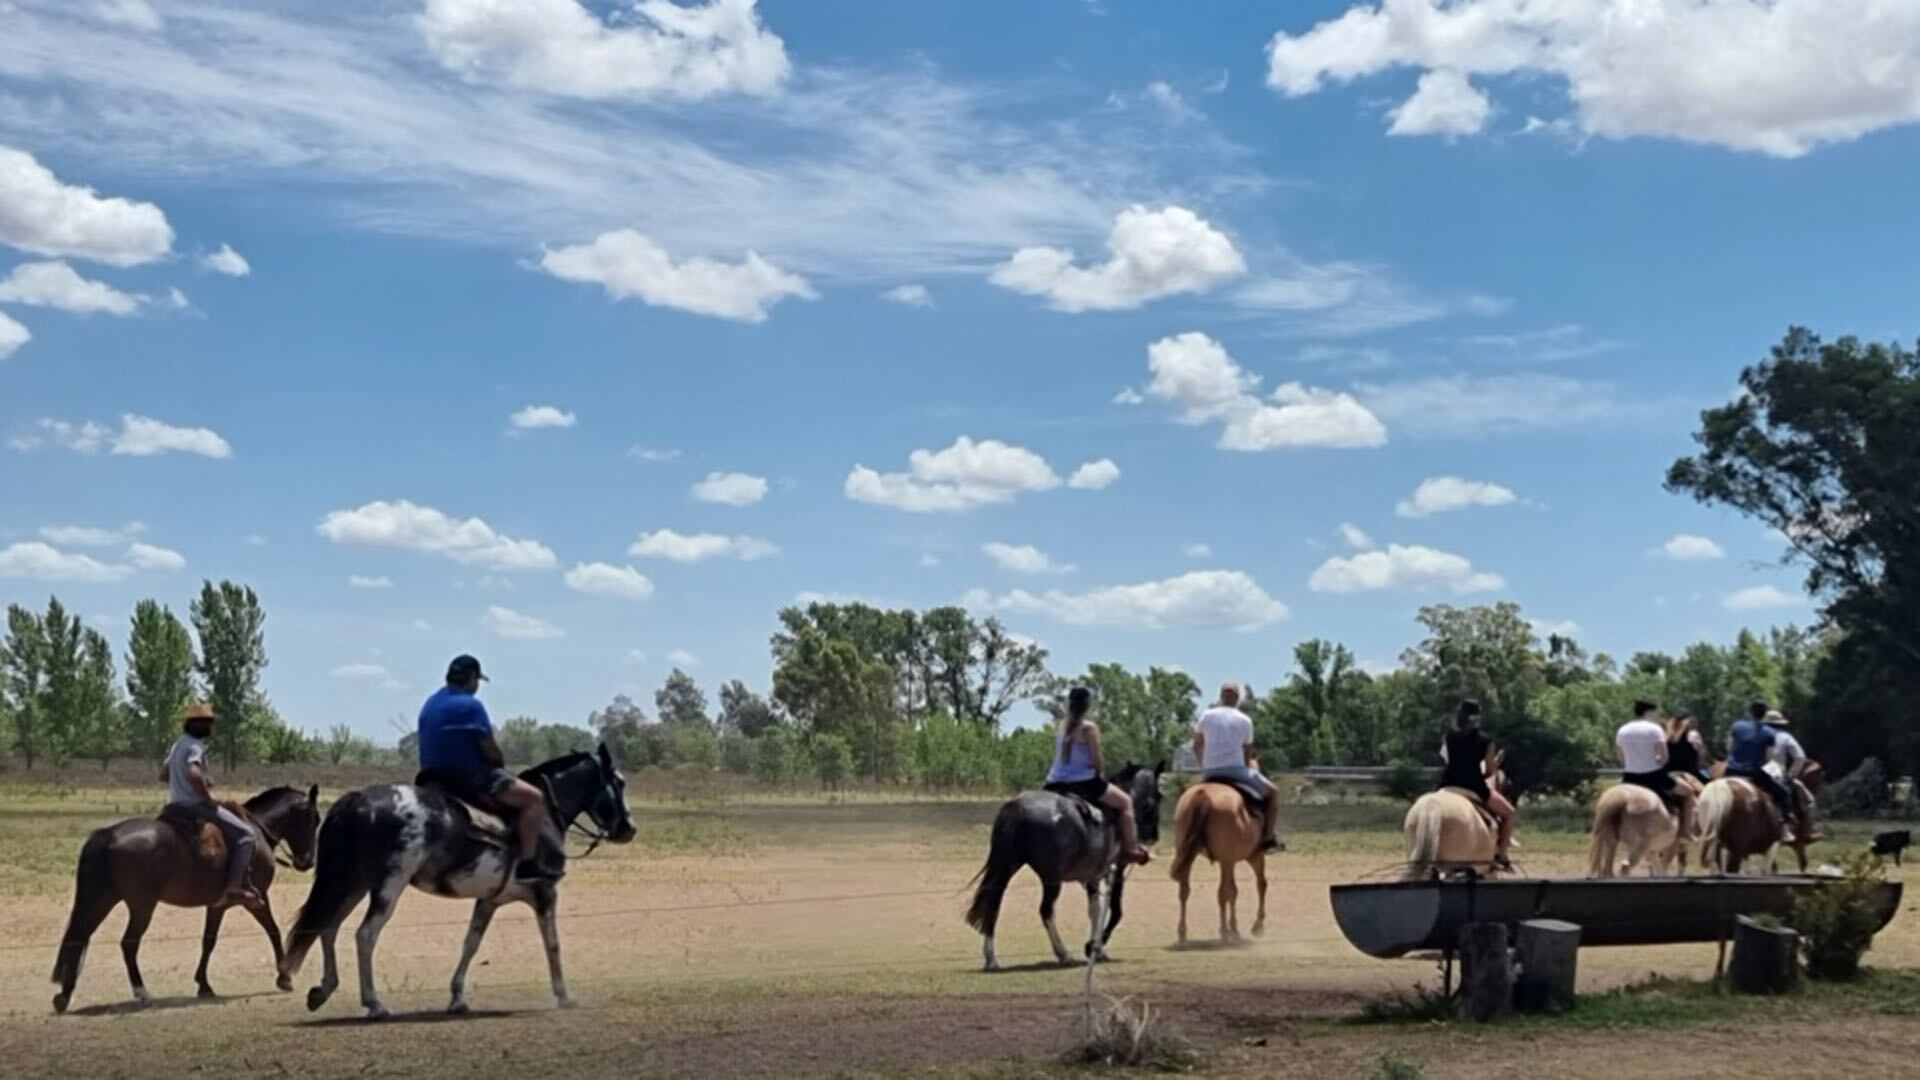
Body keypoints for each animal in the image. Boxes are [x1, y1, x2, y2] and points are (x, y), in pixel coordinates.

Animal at [49, 780, 322, 1006]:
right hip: (141, 906)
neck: (254, 832)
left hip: (102, 900)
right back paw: (142, 992)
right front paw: (285, 976)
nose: (307, 861)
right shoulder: (257, 898)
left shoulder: (217, 905)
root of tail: (110, 834)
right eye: (314, 820)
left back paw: (64, 995)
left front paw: (204, 985)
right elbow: (273, 930)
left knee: (79, 936)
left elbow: (208, 941)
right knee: (128, 944)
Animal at [280, 737, 637, 1014]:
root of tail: (357, 800)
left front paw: (457, 998)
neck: (546, 815)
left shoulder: (489, 900)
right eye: (618, 782)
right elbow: (553, 943)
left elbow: (471, 944)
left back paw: (323, 990)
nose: (628, 829)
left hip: (351, 883)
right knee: (365, 935)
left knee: (327, 927)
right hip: (387, 886)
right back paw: (374, 1003)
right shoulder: (545, 893)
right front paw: (564, 996)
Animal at [967, 760, 1159, 972]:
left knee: (993, 904)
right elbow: (1116, 912)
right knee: (1046, 911)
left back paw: (991, 959)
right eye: (1158, 797)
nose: (1154, 836)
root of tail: (1017, 808)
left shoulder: (1093, 876)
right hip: (1051, 879)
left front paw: (1097, 949)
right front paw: (1094, 945)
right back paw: (1064, 955)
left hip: (1007, 867)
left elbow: (1094, 910)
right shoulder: (1118, 869)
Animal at [1167, 772, 1274, 941]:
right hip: (1229, 860)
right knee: (1224, 893)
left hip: (1186, 854)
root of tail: (1203, 794)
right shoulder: (1250, 856)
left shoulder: (1231, 861)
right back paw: (1224, 930)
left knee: (1184, 891)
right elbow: (1258, 885)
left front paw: (1235, 927)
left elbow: (1234, 891)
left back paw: (1182, 931)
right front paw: (1254, 925)